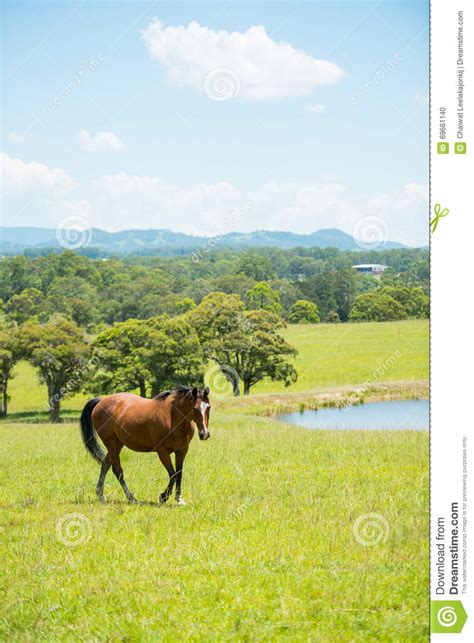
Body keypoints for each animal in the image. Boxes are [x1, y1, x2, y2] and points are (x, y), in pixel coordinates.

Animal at [80, 384, 210, 506]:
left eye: (208, 407)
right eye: (195, 408)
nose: (204, 434)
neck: (172, 418)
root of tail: (101, 401)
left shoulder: (182, 451)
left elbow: (179, 474)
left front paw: (179, 499)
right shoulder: (162, 451)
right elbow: (172, 474)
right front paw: (163, 497)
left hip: (117, 444)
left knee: (105, 465)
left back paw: (101, 496)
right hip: (111, 443)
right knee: (117, 470)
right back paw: (132, 498)